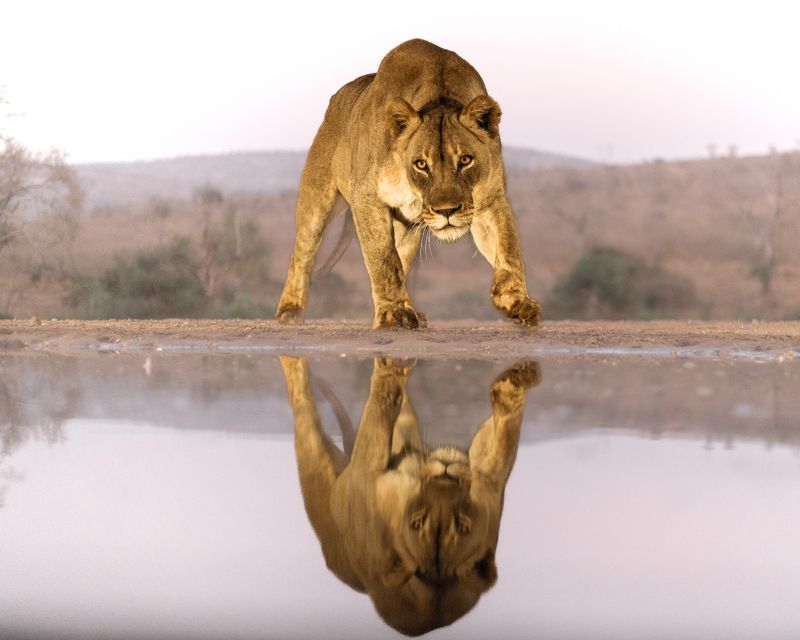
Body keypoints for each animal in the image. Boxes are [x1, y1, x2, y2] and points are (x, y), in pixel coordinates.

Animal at [276, 38, 541, 328]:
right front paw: (394, 313)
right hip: (317, 198)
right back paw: (290, 310)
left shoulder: (491, 197)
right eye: (421, 164)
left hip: (407, 228)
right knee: (302, 253)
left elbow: (508, 247)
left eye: (465, 160)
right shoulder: (366, 197)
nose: (447, 211)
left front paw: (516, 302)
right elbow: (383, 258)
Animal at [280, 355, 540, 636]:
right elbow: (504, 444)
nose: (446, 474)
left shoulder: (366, 467)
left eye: (461, 526)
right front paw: (513, 386)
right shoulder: (485, 479)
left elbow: (382, 403)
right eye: (418, 522)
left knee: (304, 404)